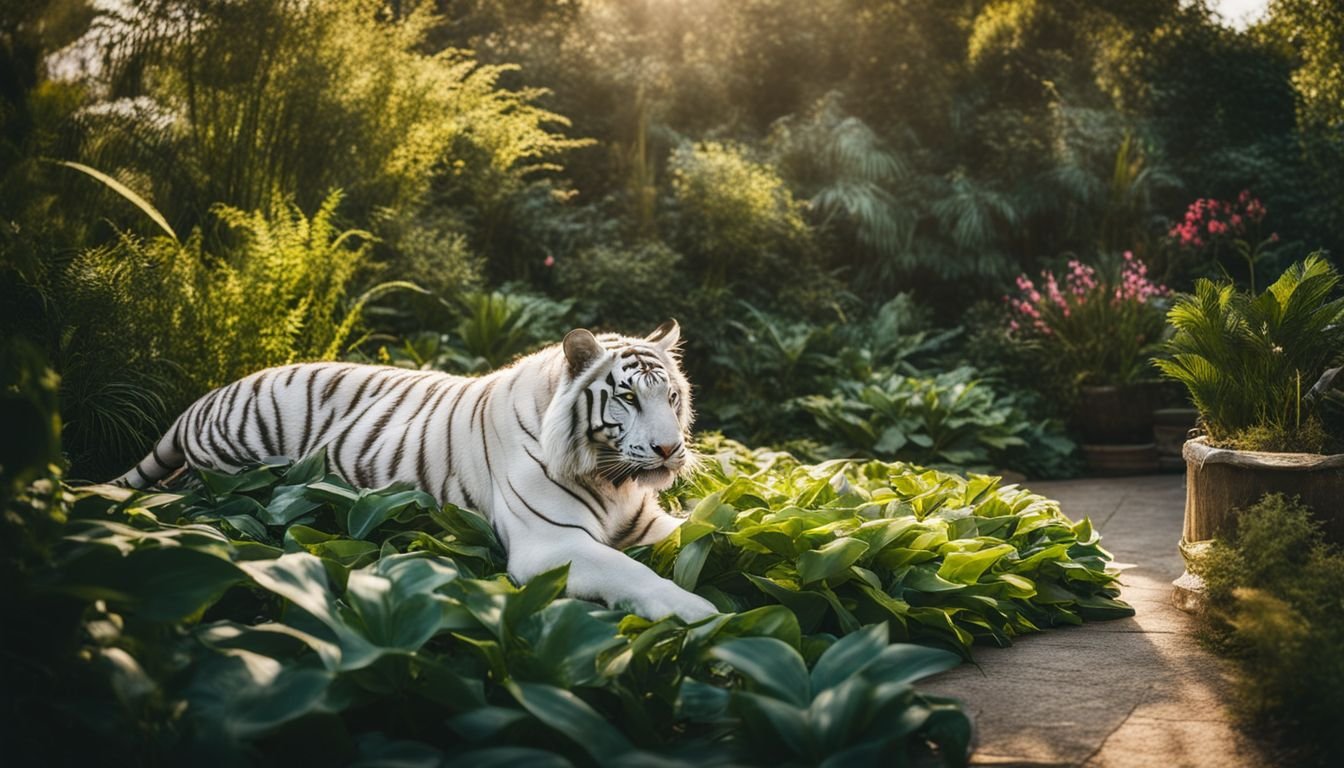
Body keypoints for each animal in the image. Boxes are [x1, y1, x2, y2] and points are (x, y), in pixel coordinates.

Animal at [115, 321, 720, 621]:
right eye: (628, 398)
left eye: (670, 396)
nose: (669, 449)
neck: (612, 480)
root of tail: (206, 395)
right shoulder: (553, 546)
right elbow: (635, 575)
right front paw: (702, 614)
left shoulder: (651, 524)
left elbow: (707, 532)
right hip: (238, 479)